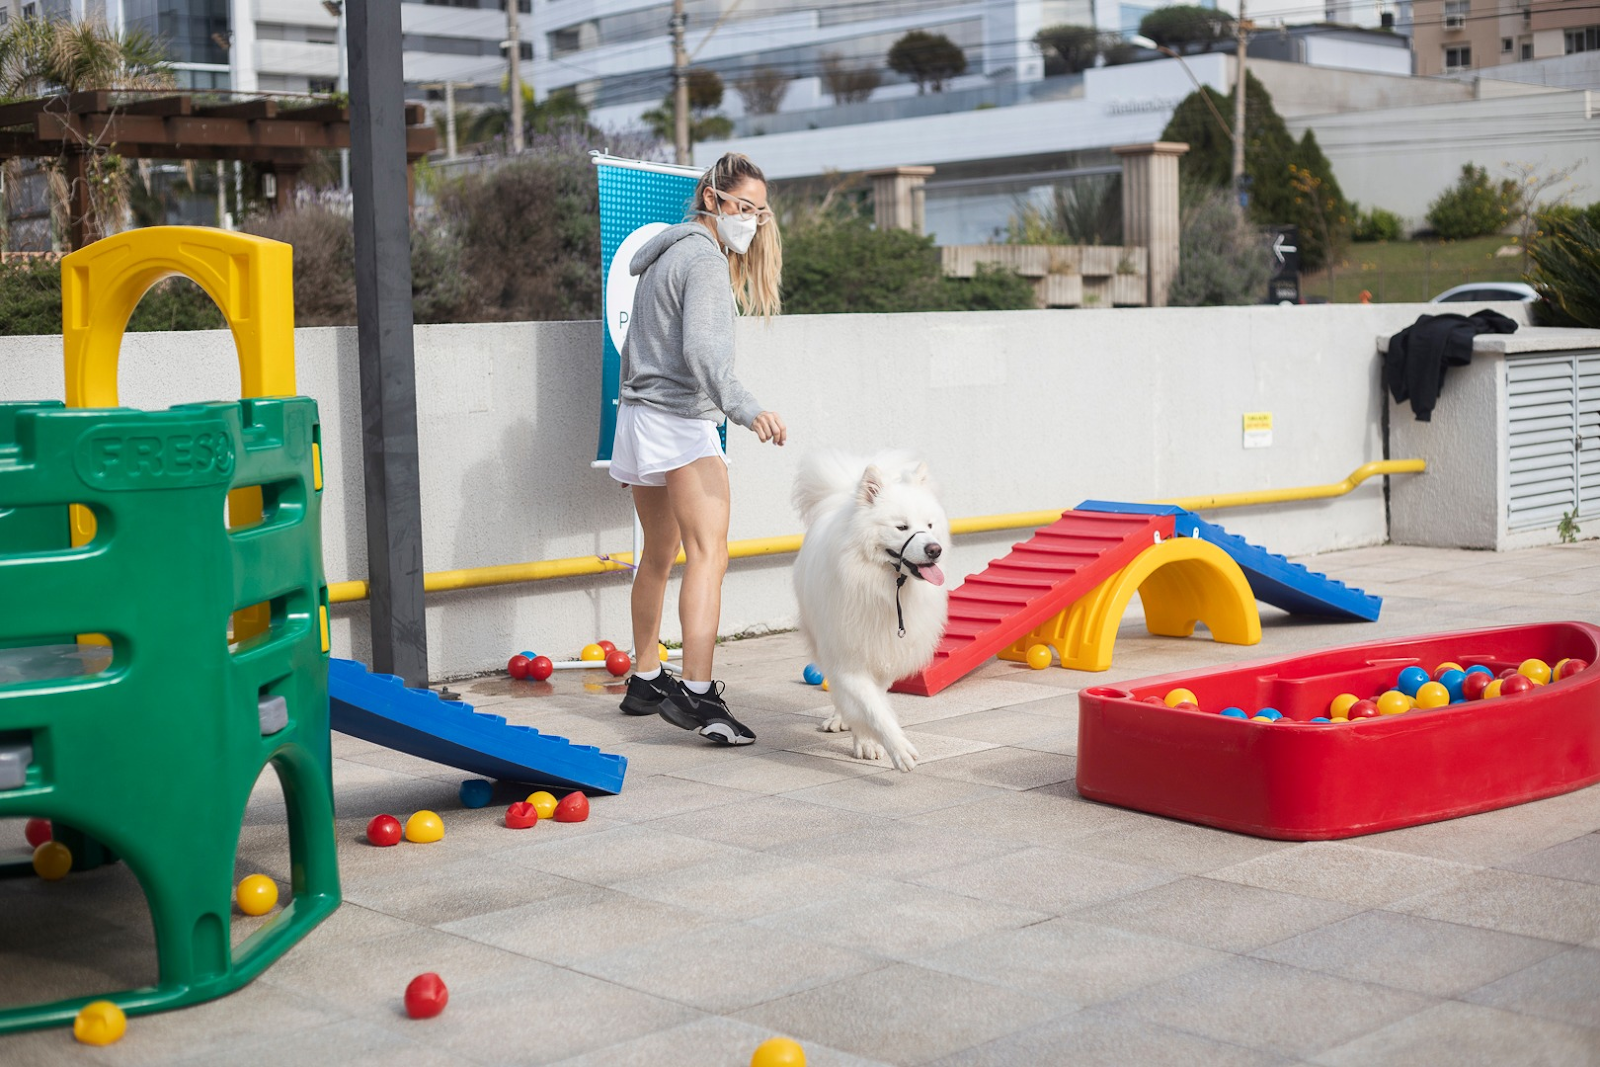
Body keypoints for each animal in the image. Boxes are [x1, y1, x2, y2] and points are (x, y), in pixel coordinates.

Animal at [790, 454, 947, 771]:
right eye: (902, 527)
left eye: (929, 525)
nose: (934, 550)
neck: (882, 583)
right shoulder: (847, 656)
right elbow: (871, 708)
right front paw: (892, 748)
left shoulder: (883, 651)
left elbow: (874, 702)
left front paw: (868, 741)